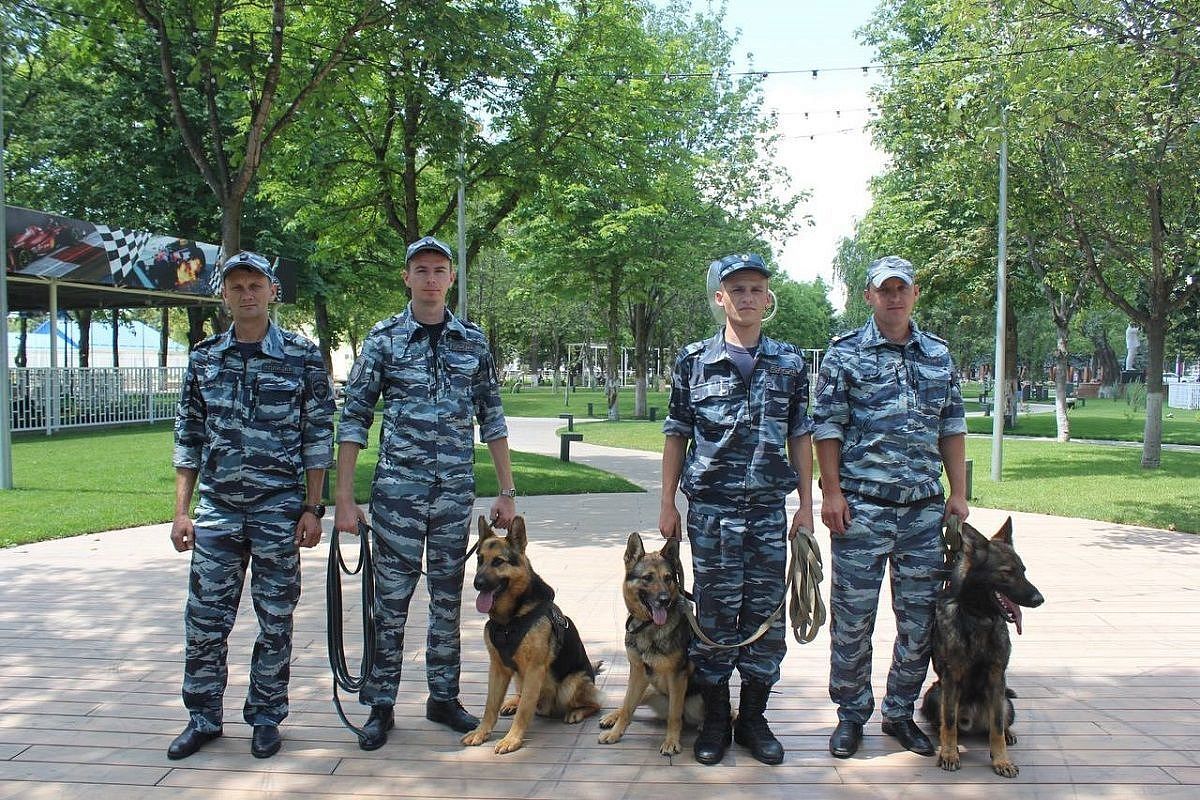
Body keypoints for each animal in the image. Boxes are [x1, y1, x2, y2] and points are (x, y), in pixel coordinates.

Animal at [460, 515, 604, 753]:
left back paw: (576, 712)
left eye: (498, 561)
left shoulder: (535, 669)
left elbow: (525, 711)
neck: (509, 620)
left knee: (596, 703)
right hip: (518, 677)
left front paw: (511, 739)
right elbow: (490, 705)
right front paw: (481, 732)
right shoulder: (497, 668)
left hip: (569, 685)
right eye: (479, 560)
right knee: (521, 695)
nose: (477, 583)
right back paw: (512, 702)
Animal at [597, 534, 700, 753]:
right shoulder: (637, 672)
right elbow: (628, 706)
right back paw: (612, 716)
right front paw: (615, 733)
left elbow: (674, 716)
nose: (664, 600)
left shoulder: (677, 678)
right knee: (628, 704)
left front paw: (671, 741)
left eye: (668, 578)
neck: (649, 626)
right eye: (647, 578)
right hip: (648, 686)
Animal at [921, 520, 1046, 777]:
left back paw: (1008, 734)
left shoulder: (997, 677)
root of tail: (973, 722)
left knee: (998, 722)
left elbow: (996, 727)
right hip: (936, 694)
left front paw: (1002, 760)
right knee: (944, 721)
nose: (1039, 599)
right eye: (1007, 572)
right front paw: (949, 754)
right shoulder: (951, 679)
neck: (978, 617)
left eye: (1024, 571)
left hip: (1006, 702)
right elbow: (949, 723)